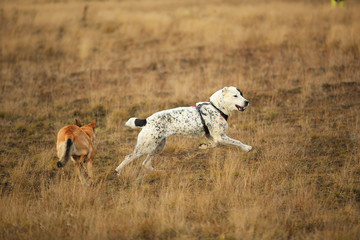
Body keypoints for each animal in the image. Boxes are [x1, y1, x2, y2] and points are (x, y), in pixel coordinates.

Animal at [115, 86, 253, 174]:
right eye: (235, 95)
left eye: (241, 94)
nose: (247, 102)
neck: (217, 108)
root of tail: (147, 120)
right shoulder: (220, 137)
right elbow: (237, 142)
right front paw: (247, 148)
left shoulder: (213, 137)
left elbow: (213, 145)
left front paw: (203, 147)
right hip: (145, 147)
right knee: (128, 157)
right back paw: (117, 172)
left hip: (158, 146)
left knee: (146, 163)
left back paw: (159, 172)